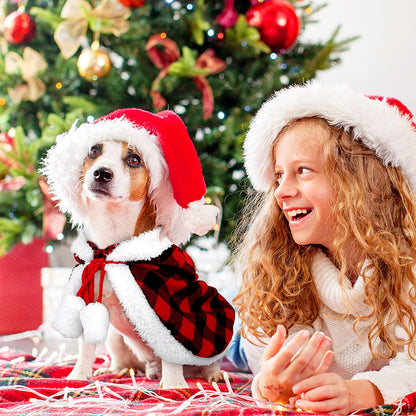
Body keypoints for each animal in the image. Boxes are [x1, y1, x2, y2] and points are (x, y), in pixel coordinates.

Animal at [44, 109, 237, 388]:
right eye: (93, 150)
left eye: (134, 159)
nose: (101, 173)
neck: (111, 248)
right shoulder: (85, 299)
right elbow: (86, 348)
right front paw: (78, 376)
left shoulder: (172, 313)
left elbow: (173, 352)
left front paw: (174, 385)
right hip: (114, 336)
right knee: (124, 359)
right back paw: (120, 370)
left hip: (218, 339)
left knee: (208, 364)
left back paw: (211, 375)